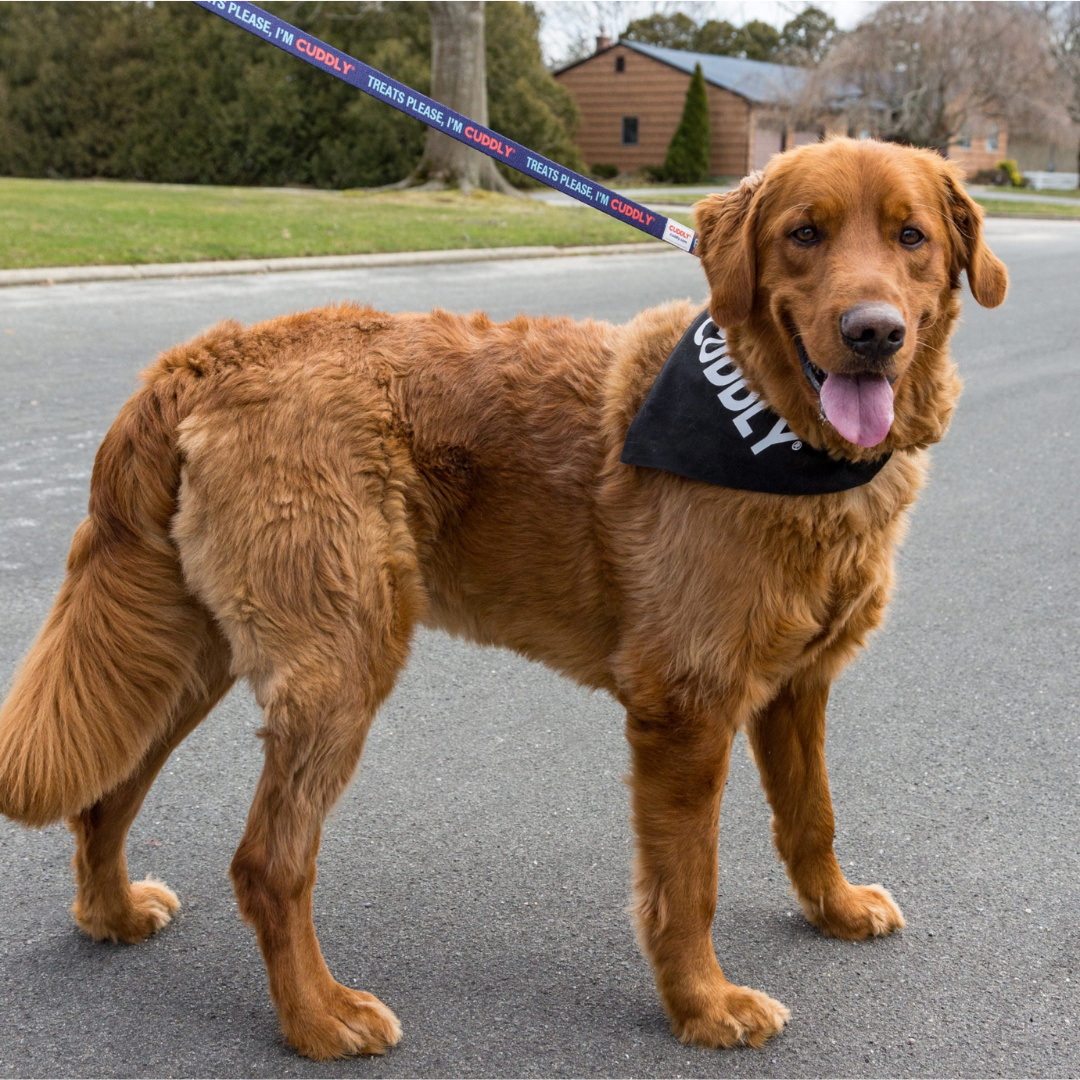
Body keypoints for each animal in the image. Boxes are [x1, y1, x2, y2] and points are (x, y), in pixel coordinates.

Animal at [0, 139, 1002, 1058]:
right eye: (803, 235)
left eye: (911, 237)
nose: (874, 331)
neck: (781, 436)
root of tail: (209, 353)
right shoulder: (687, 705)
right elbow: (689, 883)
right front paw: (702, 1005)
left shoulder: (798, 685)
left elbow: (811, 816)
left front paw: (833, 909)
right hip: (340, 666)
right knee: (267, 864)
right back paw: (317, 1020)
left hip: (189, 650)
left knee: (109, 791)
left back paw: (111, 914)